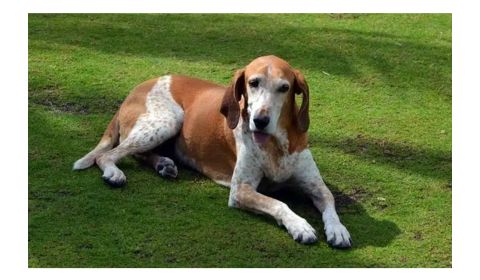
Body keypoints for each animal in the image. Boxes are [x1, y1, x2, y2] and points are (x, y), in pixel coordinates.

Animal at [74, 55, 352, 248]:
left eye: (284, 88)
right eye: (253, 83)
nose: (260, 120)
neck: (276, 144)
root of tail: (138, 87)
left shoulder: (315, 185)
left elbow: (329, 200)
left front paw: (337, 229)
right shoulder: (241, 190)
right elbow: (279, 203)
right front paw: (300, 226)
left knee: (138, 154)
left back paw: (164, 163)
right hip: (167, 120)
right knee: (108, 155)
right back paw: (115, 173)